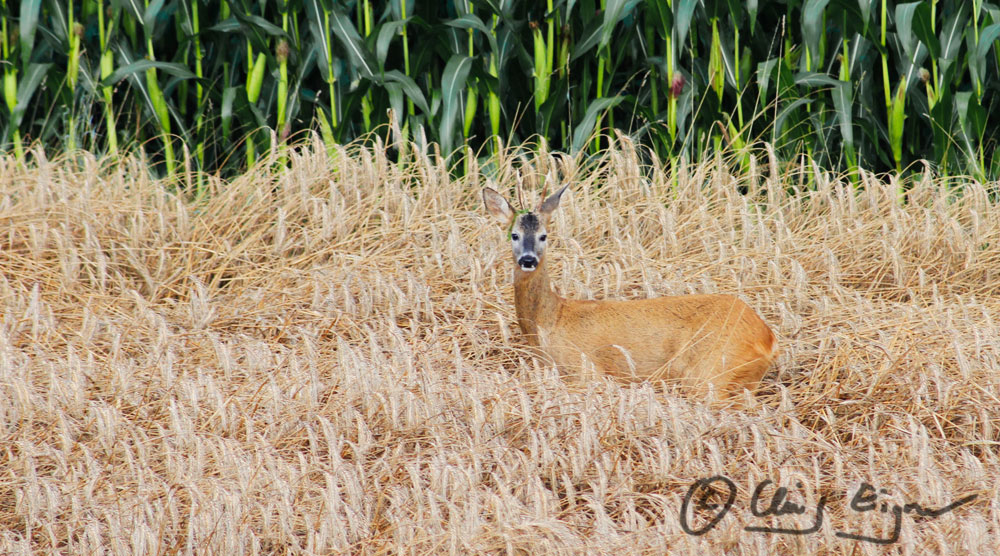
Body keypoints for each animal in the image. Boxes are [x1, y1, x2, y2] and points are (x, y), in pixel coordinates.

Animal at [480, 187, 776, 400]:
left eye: (544, 236)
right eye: (514, 235)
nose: (528, 260)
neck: (550, 320)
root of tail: (768, 339)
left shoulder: (586, 371)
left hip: (710, 373)